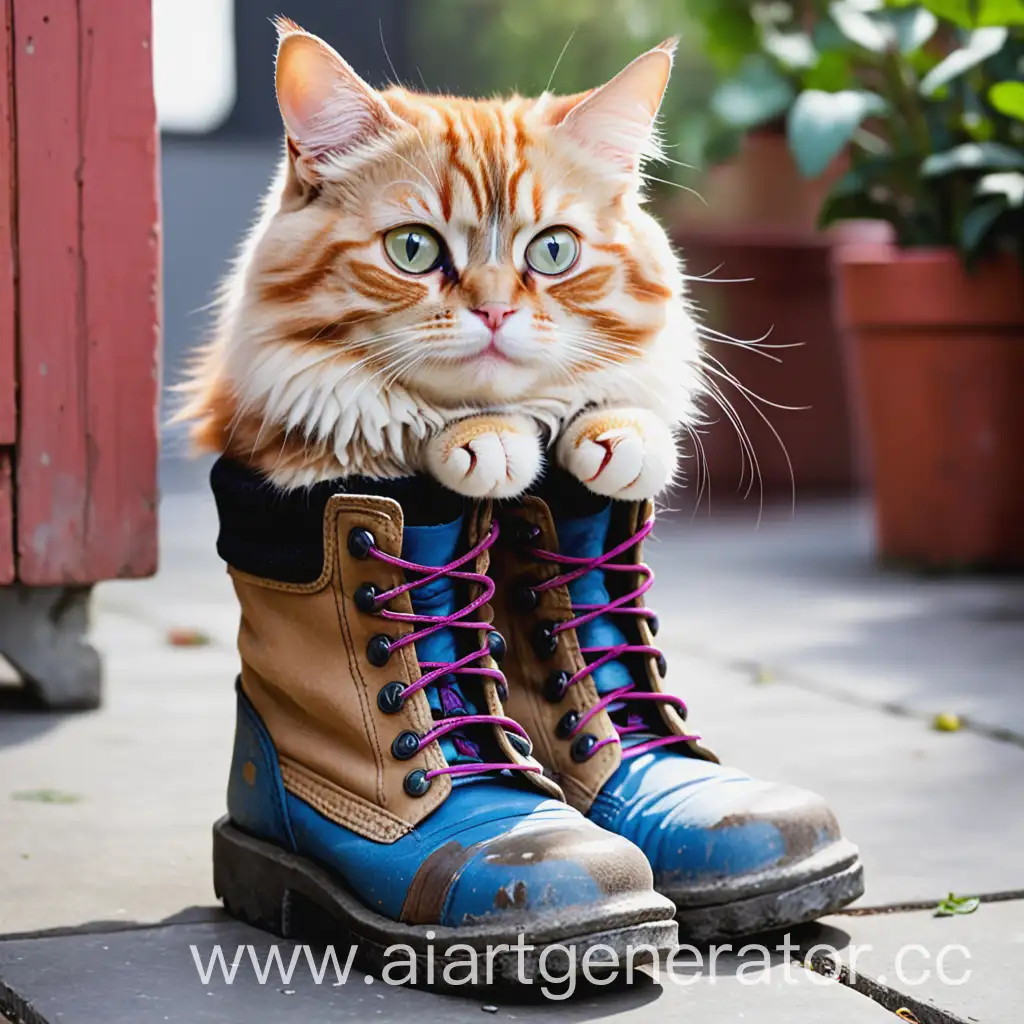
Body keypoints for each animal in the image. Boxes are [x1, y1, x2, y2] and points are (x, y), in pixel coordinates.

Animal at [178, 14, 704, 497]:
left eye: (553, 250)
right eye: (413, 248)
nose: (495, 311)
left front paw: (623, 434)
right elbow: (390, 424)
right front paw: (486, 440)